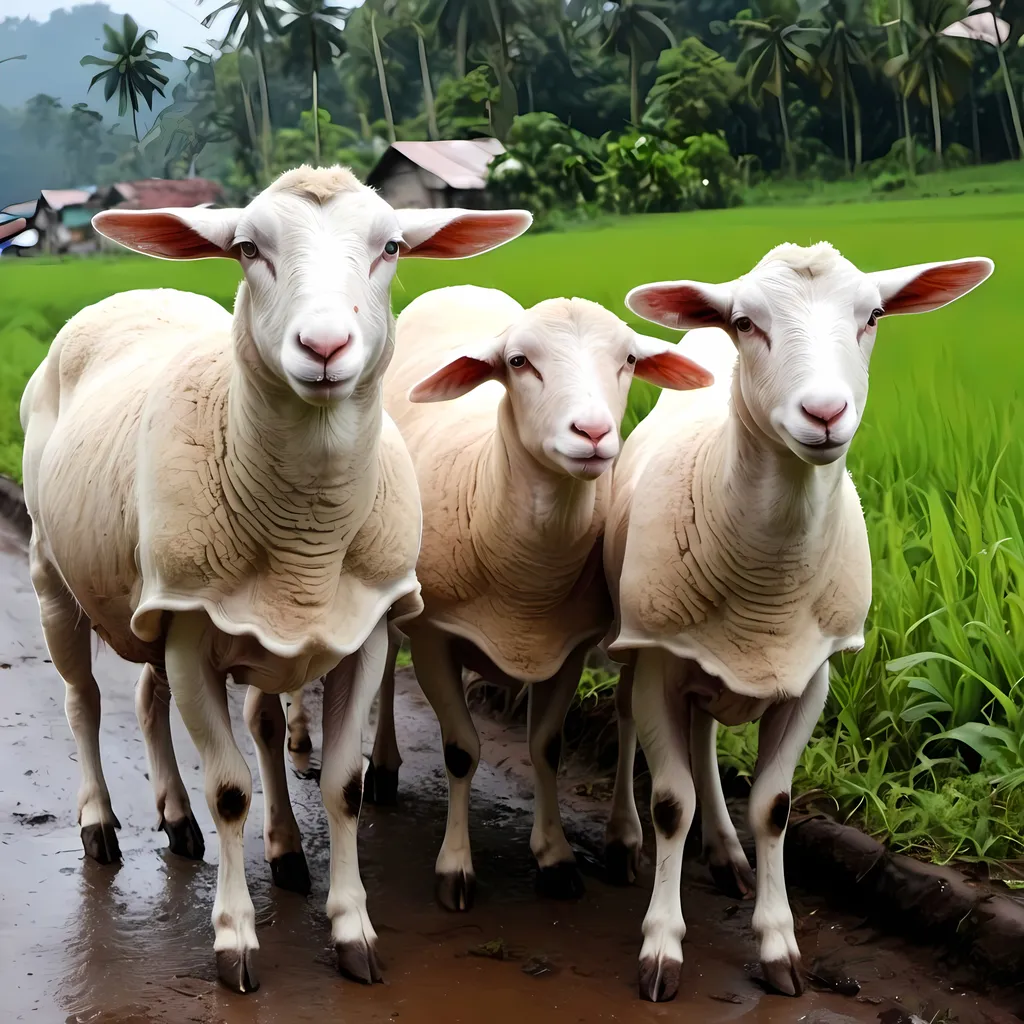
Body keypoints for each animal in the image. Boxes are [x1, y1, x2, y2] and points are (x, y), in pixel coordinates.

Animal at [19, 161, 532, 991]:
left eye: (391, 245)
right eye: (246, 248)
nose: (324, 345)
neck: (306, 532)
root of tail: (131, 294)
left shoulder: (359, 630)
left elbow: (343, 784)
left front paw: (352, 928)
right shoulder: (191, 633)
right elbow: (230, 789)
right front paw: (235, 939)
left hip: (152, 591)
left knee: (147, 698)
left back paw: (178, 818)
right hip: (51, 574)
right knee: (82, 701)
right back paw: (101, 824)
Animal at [366, 284, 712, 909]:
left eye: (628, 360)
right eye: (519, 362)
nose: (593, 433)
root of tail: (461, 288)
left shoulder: (567, 647)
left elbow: (546, 746)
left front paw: (555, 858)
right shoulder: (434, 638)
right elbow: (460, 750)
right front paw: (455, 868)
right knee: (383, 663)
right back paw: (380, 767)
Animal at [598, 245, 991, 999]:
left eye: (873, 316)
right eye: (746, 323)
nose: (826, 412)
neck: (767, 581)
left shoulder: (813, 674)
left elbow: (772, 807)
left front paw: (779, 942)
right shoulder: (661, 657)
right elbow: (670, 802)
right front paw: (661, 945)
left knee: (704, 739)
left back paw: (726, 854)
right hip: (641, 644)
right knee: (632, 724)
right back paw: (625, 838)